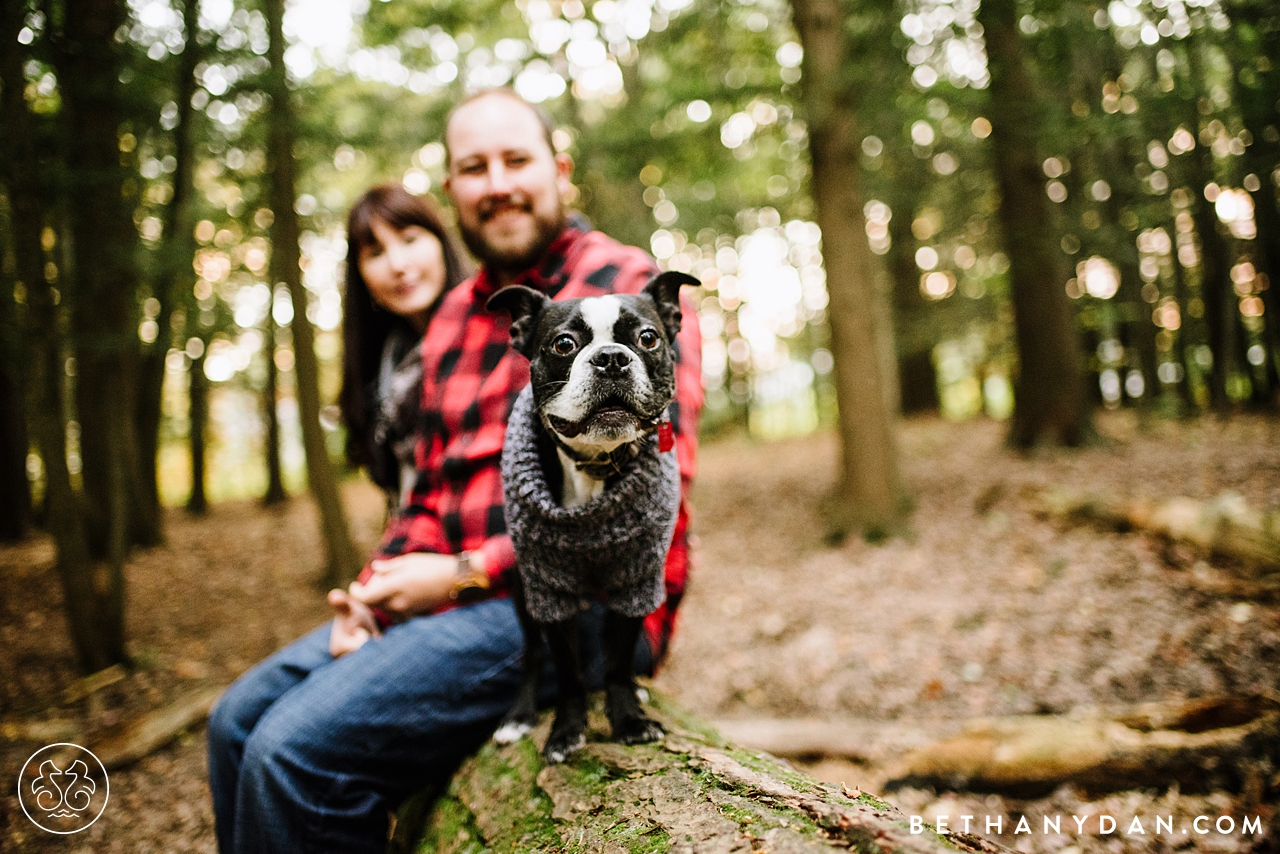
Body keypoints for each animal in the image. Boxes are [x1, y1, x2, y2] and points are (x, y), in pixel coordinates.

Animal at [481, 270, 701, 763]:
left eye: (648, 338)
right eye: (563, 344)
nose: (611, 359)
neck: (595, 466)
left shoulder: (636, 580)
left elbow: (618, 661)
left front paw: (629, 720)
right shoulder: (551, 591)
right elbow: (566, 670)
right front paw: (565, 730)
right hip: (523, 589)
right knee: (533, 655)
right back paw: (519, 715)